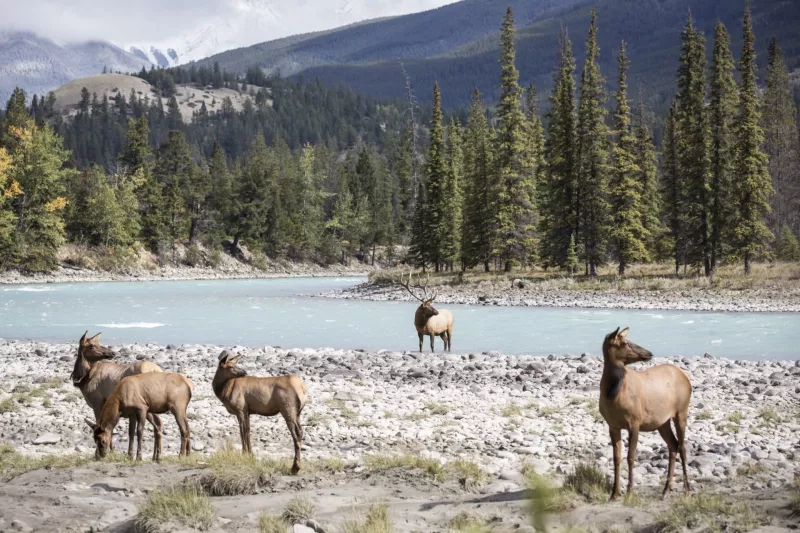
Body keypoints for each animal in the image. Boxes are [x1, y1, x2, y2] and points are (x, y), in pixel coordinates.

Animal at [72, 330, 164, 460]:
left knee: (157, 423)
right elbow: (129, 431)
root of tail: (158, 370)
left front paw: (103, 453)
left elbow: (103, 426)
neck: (85, 378)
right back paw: (156, 456)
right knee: (158, 424)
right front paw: (127, 454)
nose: (112, 352)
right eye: (93, 345)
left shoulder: (97, 403)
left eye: (96, 343)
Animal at [596, 326, 692, 500]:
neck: (613, 395)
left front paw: (629, 491)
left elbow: (630, 456)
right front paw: (615, 493)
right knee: (673, 445)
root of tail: (685, 377)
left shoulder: (635, 421)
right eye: (626, 342)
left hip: (681, 411)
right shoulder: (612, 425)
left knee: (682, 446)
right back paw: (666, 490)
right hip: (662, 422)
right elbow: (616, 458)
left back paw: (687, 490)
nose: (649, 353)